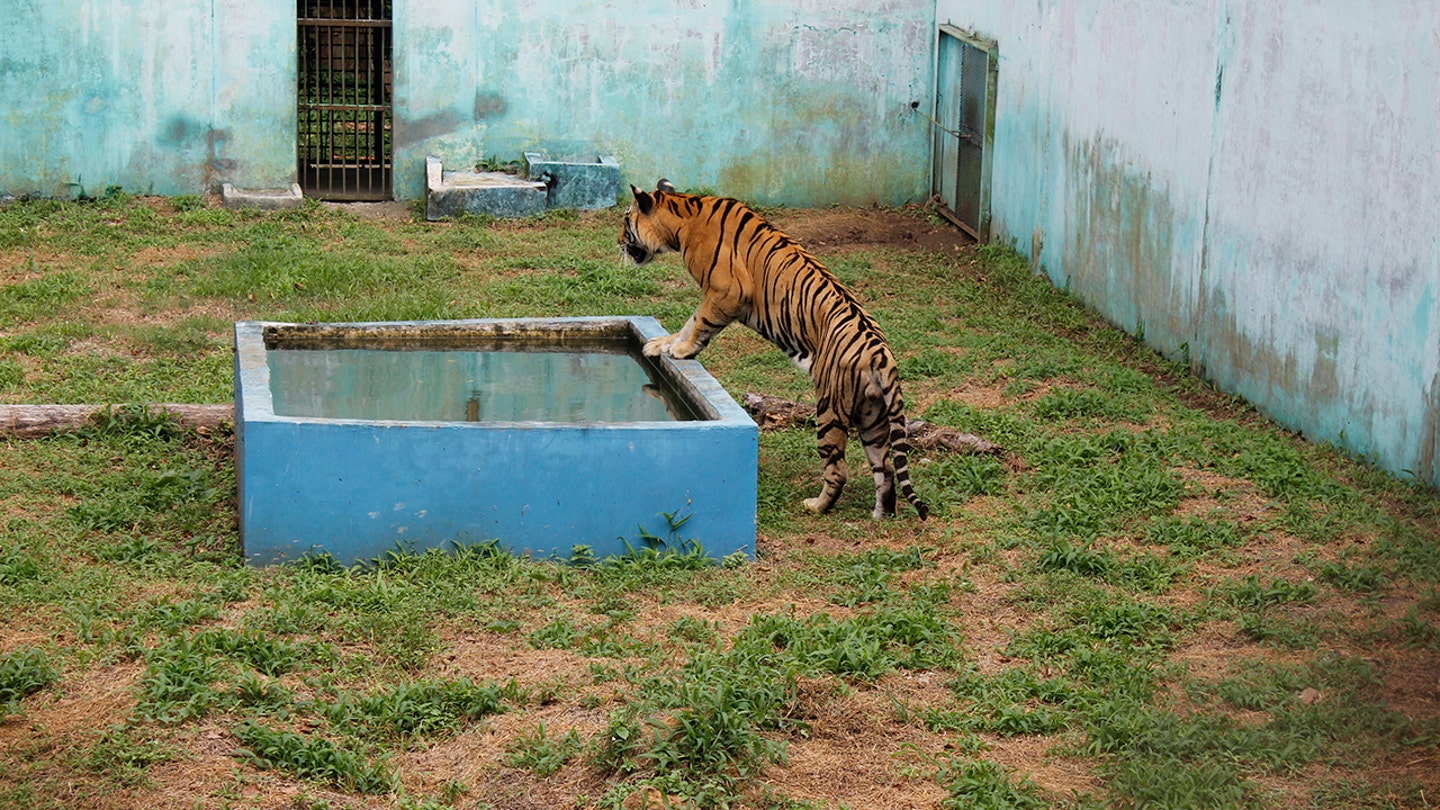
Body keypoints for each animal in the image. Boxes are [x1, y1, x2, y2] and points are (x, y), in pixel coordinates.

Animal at [619, 177, 933, 518]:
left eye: (626, 220)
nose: (618, 241)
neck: (683, 214)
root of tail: (880, 352)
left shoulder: (727, 291)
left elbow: (699, 321)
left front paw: (681, 349)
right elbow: (690, 320)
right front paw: (660, 345)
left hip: (831, 407)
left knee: (838, 469)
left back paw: (816, 506)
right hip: (872, 414)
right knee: (885, 468)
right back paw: (879, 516)